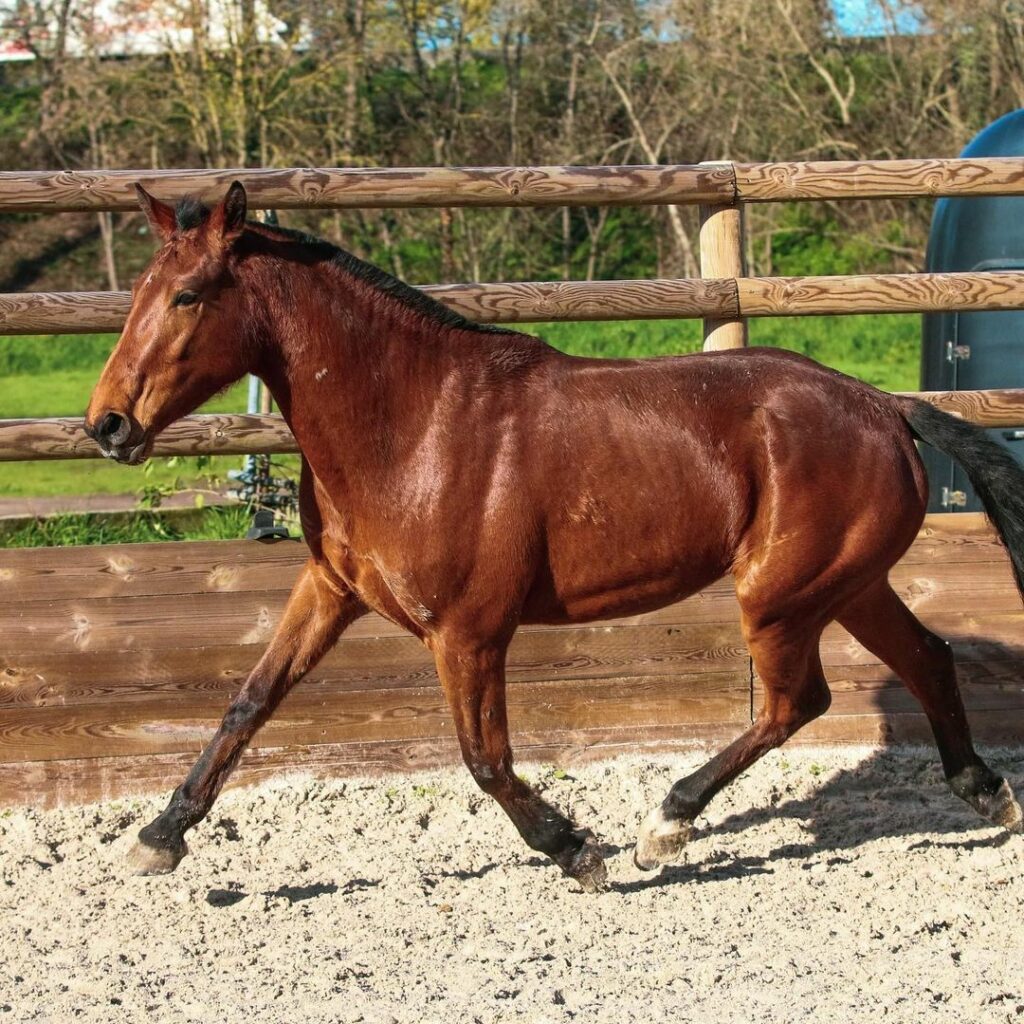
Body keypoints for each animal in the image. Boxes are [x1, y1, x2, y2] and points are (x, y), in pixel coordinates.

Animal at [83, 182, 1019, 888]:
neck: (411, 426)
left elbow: (484, 758)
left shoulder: (468, 632)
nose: (107, 426)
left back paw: (665, 823)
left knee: (798, 703)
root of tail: (887, 407)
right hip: (846, 585)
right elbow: (249, 702)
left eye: (188, 296)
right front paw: (158, 837)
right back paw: (986, 792)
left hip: (781, 597)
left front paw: (576, 850)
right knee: (926, 656)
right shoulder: (331, 590)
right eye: (136, 295)